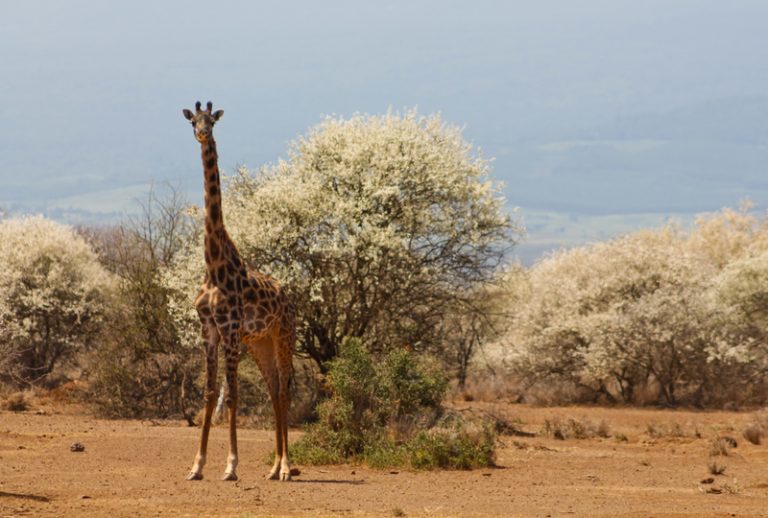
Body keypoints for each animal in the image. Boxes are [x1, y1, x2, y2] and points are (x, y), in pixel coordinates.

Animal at [183, 100, 296, 484]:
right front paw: (197, 466)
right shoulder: (209, 329)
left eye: (212, 121)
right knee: (273, 388)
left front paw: (231, 466)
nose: (203, 134)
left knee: (284, 388)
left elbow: (231, 396)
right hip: (259, 342)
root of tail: (289, 295)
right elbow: (209, 393)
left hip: (283, 334)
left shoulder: (230, 329)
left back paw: (286, 467)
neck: (214, 266)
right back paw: (274, 467)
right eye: (193, 121)